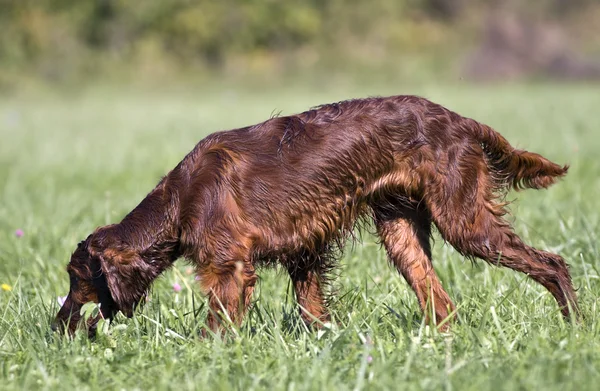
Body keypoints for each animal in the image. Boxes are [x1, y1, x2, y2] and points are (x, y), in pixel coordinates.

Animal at [54, 95, 580, 336]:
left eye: (76, 278)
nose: (55, 326)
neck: (180, 199)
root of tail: (462, 121)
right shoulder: (302, 253)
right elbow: (314, 314)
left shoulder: (229, 267)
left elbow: (216, 325)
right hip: (402, 233)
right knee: (442, 302)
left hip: (466, 223)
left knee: (553, 263)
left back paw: (575, 326)